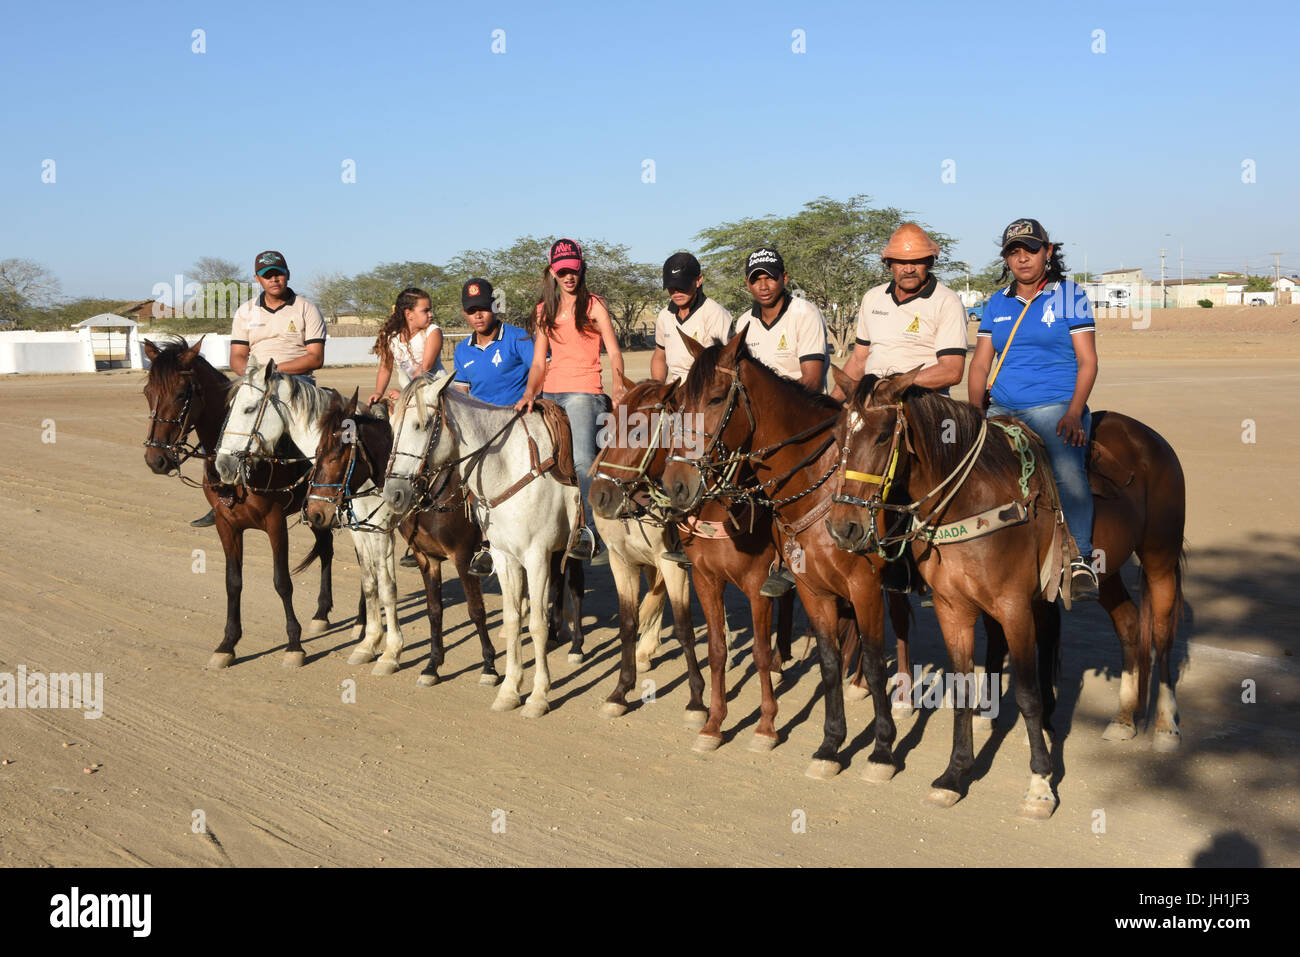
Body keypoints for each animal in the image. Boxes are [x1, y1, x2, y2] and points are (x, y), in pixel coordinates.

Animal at [141, 340, 335, 670]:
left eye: (181, 393)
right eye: (147, 392)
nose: (156, 459)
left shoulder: (275, 523)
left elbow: (282, 582)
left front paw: (294, 645)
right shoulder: (226, 524)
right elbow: (233, 582)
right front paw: (227, 644)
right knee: (325, 548)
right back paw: (322, 613)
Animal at [213, 358, 405, 670]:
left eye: (249, 409)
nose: (223, 465)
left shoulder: (380, 529)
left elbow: (386, 585)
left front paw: (389, 650)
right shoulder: (361, 528)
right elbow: (371, 581)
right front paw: (370, 641)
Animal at [306, 390, 499, 686]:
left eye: (337, 456)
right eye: (316, 452)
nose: (314, 512)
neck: (433, 488)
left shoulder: (463, 555)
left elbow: (475, 609)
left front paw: (489, 666)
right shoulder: (424, 555)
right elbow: (432, 609)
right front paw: (431, 666)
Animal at [379, 369, 577, 712]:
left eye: (420, 425)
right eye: (391, 427)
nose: (394, 494)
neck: (507, 469)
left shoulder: (530, 555)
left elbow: (524, 622)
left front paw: (537, 695)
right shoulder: (501, 555)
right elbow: (509, 618)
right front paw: (509, 690)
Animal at [665, 327, 899, 780]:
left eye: (716, 398)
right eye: (680, 400)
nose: (676, 484)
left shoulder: (761, 584)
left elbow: (758, 652)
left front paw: (766, 727)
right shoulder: (705, 578)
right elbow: (717, 650)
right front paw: (714, 724)